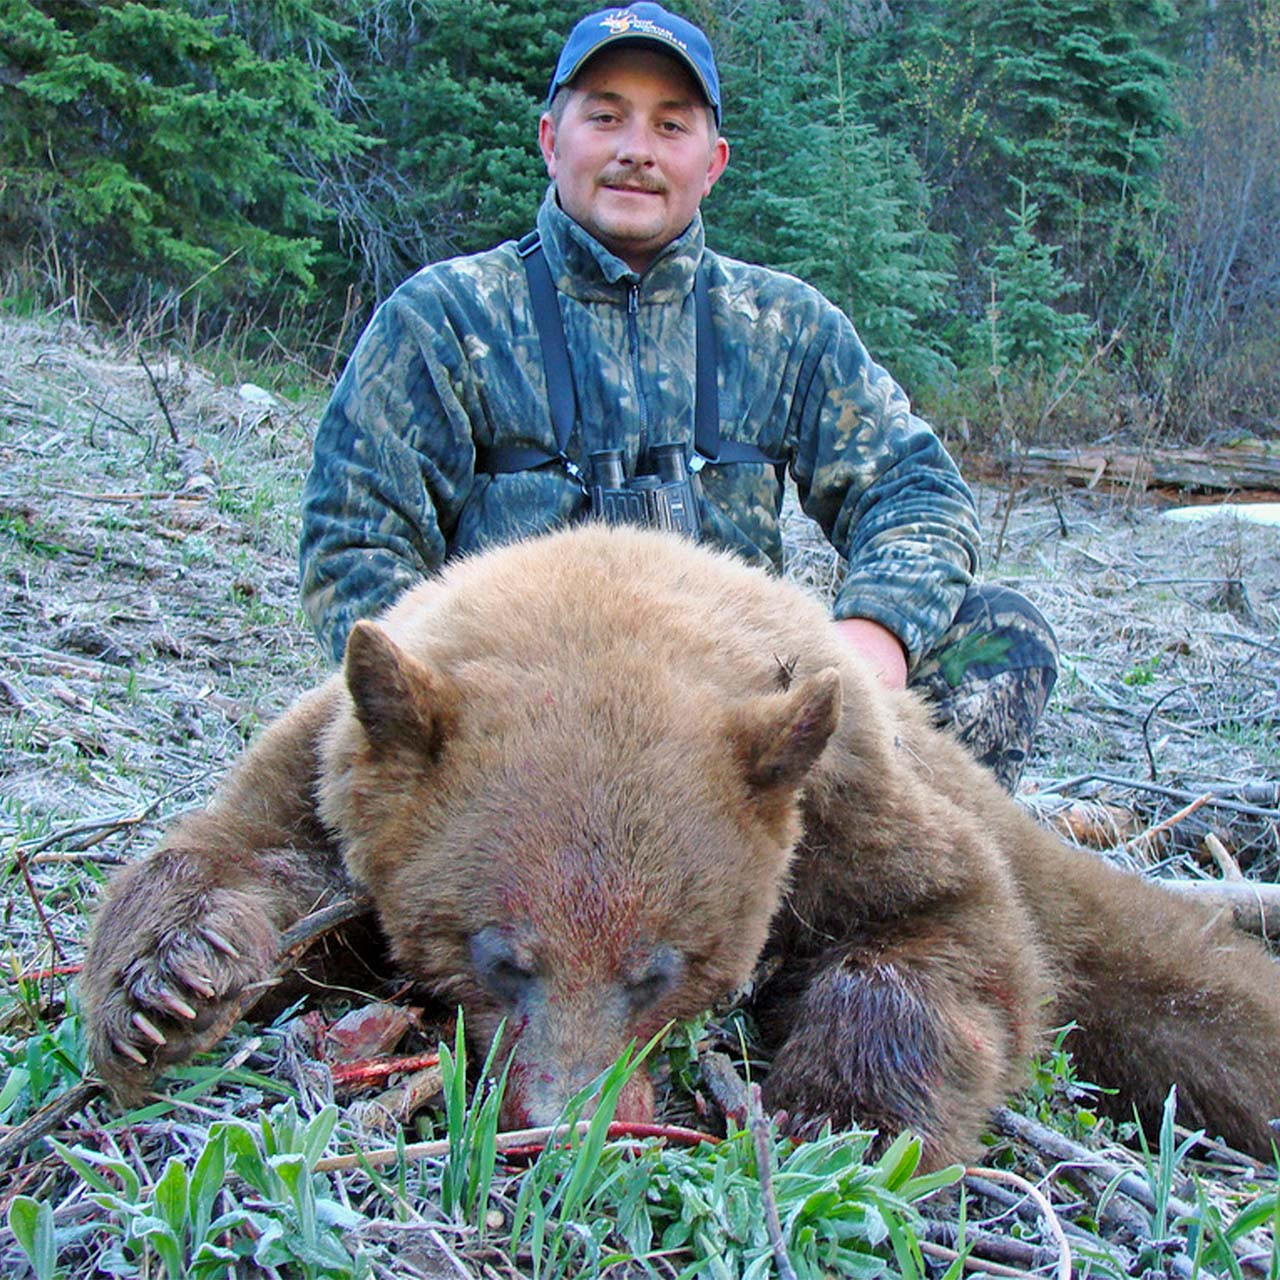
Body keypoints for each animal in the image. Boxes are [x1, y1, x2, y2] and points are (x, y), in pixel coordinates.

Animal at [80, 524, 1280, 1170]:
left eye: (661, 968)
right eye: (497, 955)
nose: (568, 1125)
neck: (606, 594)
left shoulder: (841, 798)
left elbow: (955, 933)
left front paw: (839, 1121)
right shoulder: (334, 748)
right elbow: (246, 852)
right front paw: (167, 985)